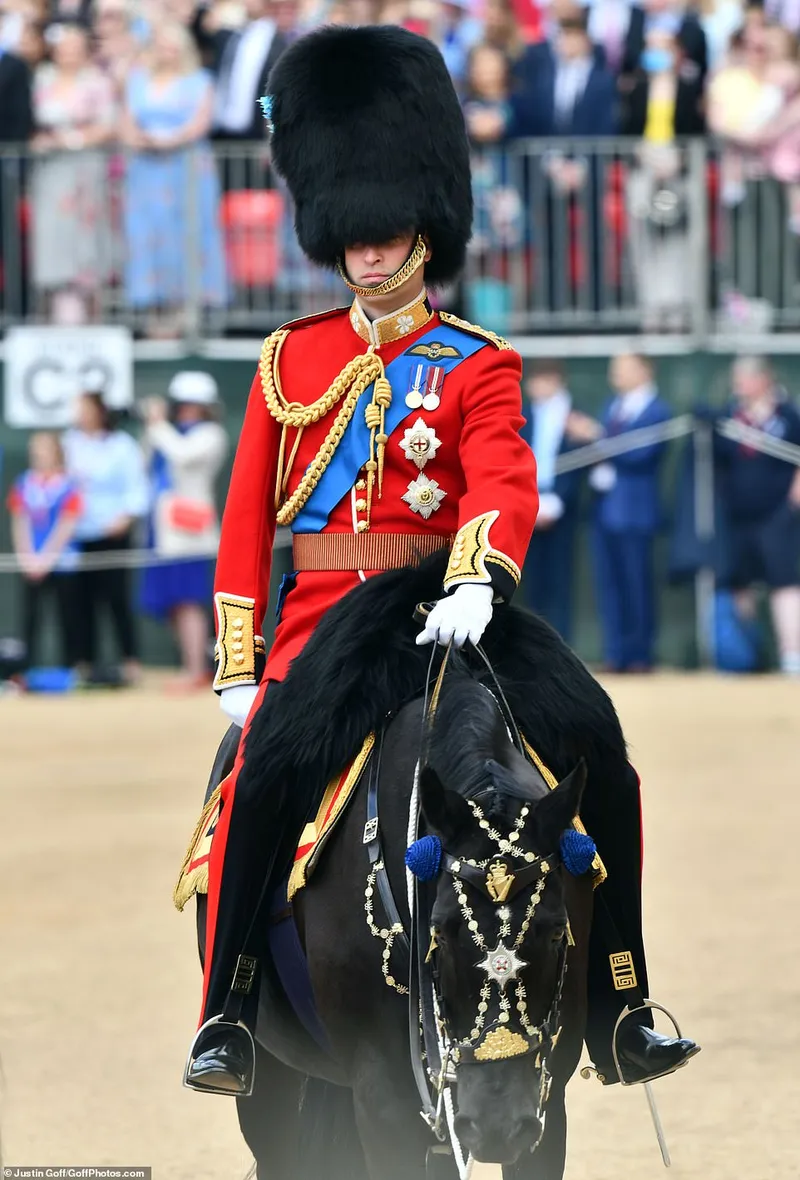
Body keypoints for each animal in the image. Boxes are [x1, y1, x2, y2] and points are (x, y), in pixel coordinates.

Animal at [191, 554, 637, 1180]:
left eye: (555, 935)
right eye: (441, 932)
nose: (497, 1126)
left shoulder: (549, 1092)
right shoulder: (384, 1097)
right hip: (274, 1080)